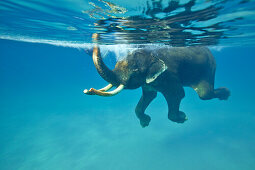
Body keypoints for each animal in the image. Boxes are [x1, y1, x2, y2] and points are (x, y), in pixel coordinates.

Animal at [84, 40, 231, 127]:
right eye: (115, 64)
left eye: (135, 71)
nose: (87, 90)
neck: (151, 55)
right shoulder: (148, 82)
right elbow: (149, 96)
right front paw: (145, 122)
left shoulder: (169, 76)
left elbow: (178, 94)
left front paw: (183, 117)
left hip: (209, 68)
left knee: (204, 94)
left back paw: (226, 94)